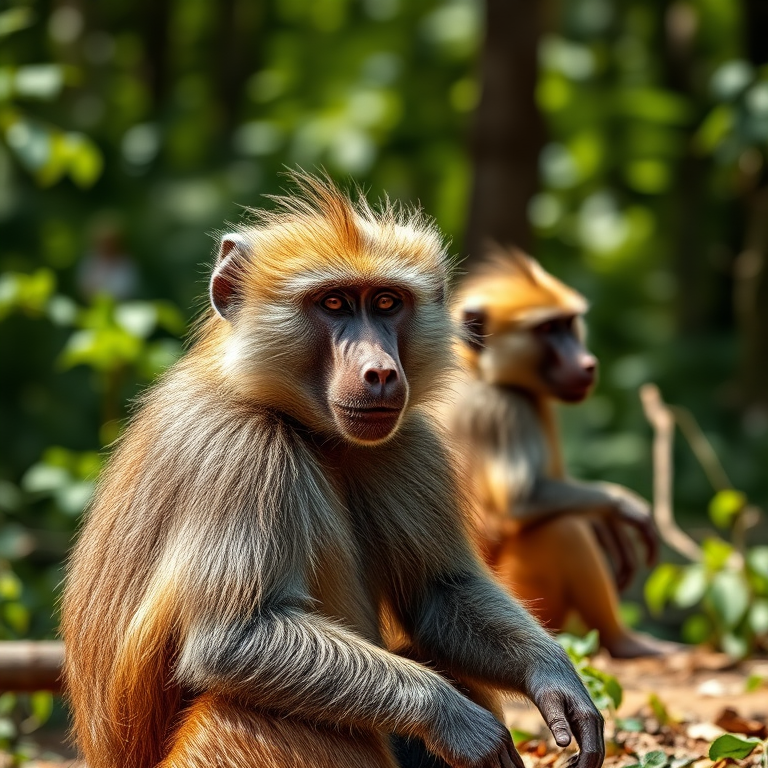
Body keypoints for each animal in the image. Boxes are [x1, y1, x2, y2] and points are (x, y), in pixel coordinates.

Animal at [60, 175, 604, 768]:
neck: (302, 424)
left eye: (387, 302)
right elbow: (230, 640)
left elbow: (438, 595)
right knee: (247, 709)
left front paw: (553, 676)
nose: (381, 372)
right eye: (334, 302)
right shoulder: (243, 450)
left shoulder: (405, 442)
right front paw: (455, 719)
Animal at [446, 248, 674, 659]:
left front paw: (604, 517)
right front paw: (616, 505)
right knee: (562, 528)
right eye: (548, 329)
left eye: (569, 324)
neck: (480, 373)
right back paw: (624, 642)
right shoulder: (504, 408)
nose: (587, 364)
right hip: (521, 597)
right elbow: (521, 501)